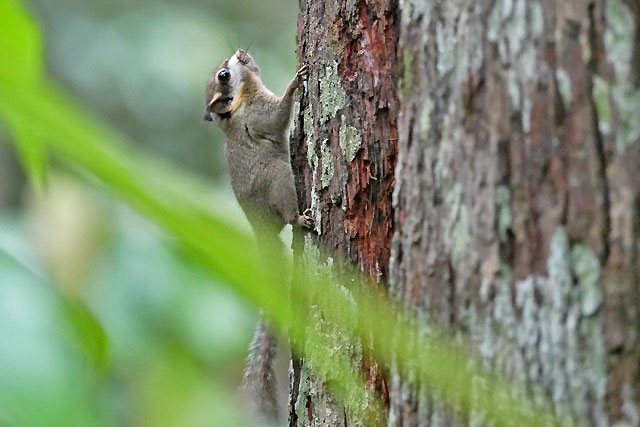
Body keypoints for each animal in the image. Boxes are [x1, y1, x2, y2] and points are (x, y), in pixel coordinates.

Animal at [204, 49, 312, 422]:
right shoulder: (261, 115)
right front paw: (296, 81)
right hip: (278, 178)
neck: (241, 103)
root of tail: (261, 232)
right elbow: (279, 117)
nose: (240, 53)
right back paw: (301, 217)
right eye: (224, 75)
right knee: (289, 216)